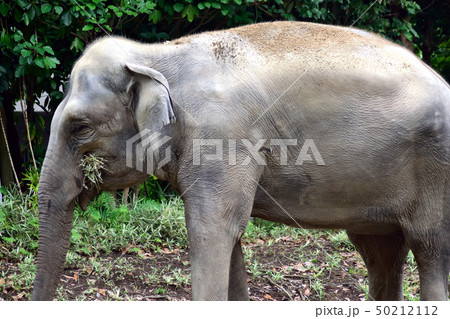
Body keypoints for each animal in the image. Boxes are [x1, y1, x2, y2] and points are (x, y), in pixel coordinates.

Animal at [31, 21, 450, 302]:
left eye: (80, 128)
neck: (156, 55)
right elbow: (231, 235)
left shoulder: (222, 140)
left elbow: (212, 229)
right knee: (380, 253)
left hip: (436, 170)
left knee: (429, 250)